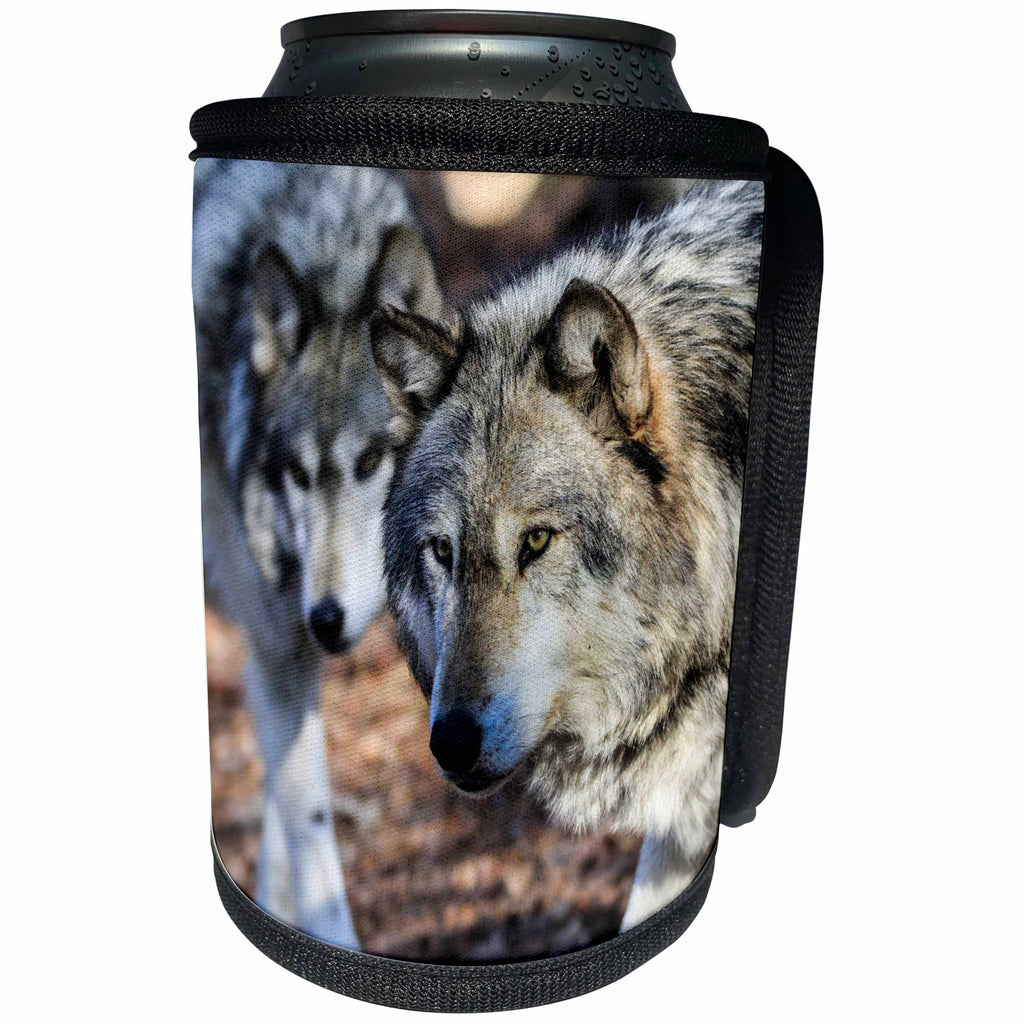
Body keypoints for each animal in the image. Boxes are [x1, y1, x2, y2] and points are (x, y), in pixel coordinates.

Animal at [194, 159, 444, 947]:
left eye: (368, 463)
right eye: (299, 476)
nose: (327, 617)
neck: (328, 251)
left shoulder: (287, 656)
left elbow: (284, 804)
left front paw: (274, 901)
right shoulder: (277, 645)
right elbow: (310, 826)